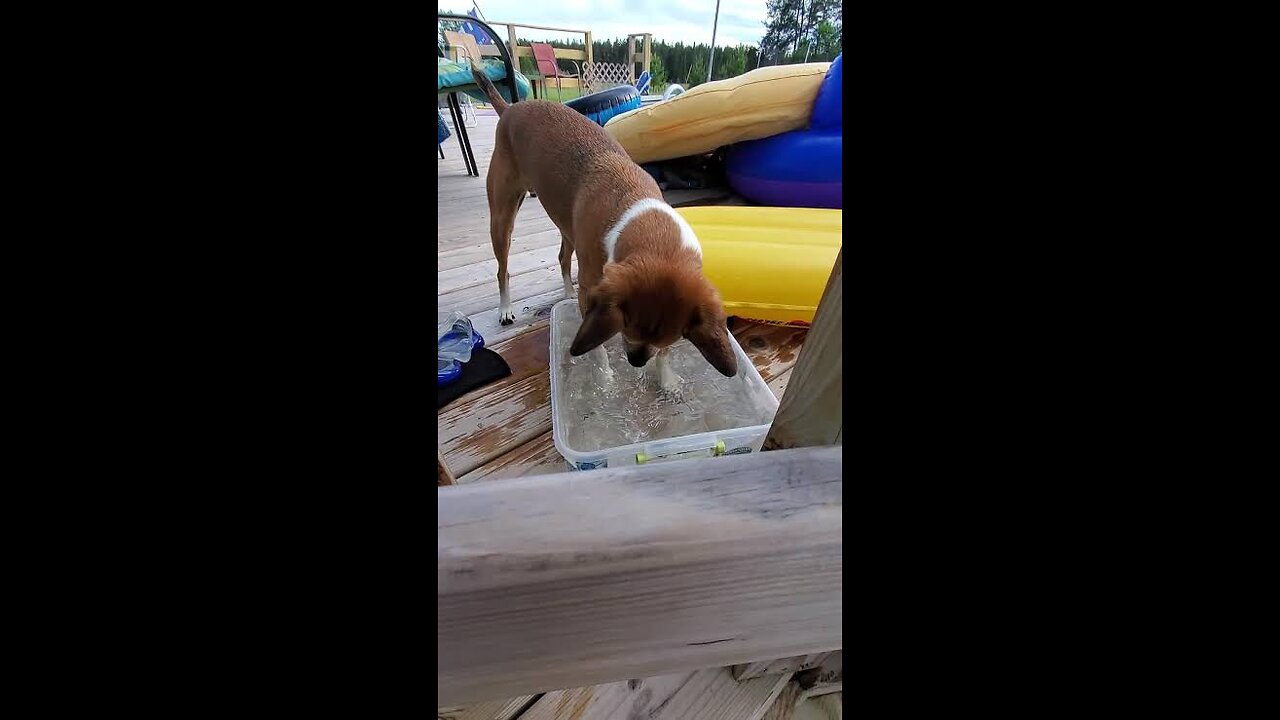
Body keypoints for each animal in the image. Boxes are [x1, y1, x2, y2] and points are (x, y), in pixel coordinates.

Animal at [471, 68, 737, 386]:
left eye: (673, 338)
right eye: (625, 325)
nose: (636, 361)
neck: (635, 209)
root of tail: (511, 108)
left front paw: (666, 378)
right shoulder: (592, 291)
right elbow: (596, 345)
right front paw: (605, 378)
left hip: (566, 224)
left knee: (562, 256)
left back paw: (566, 291)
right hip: (502, 216)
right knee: (503, 269)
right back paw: (505, 308)